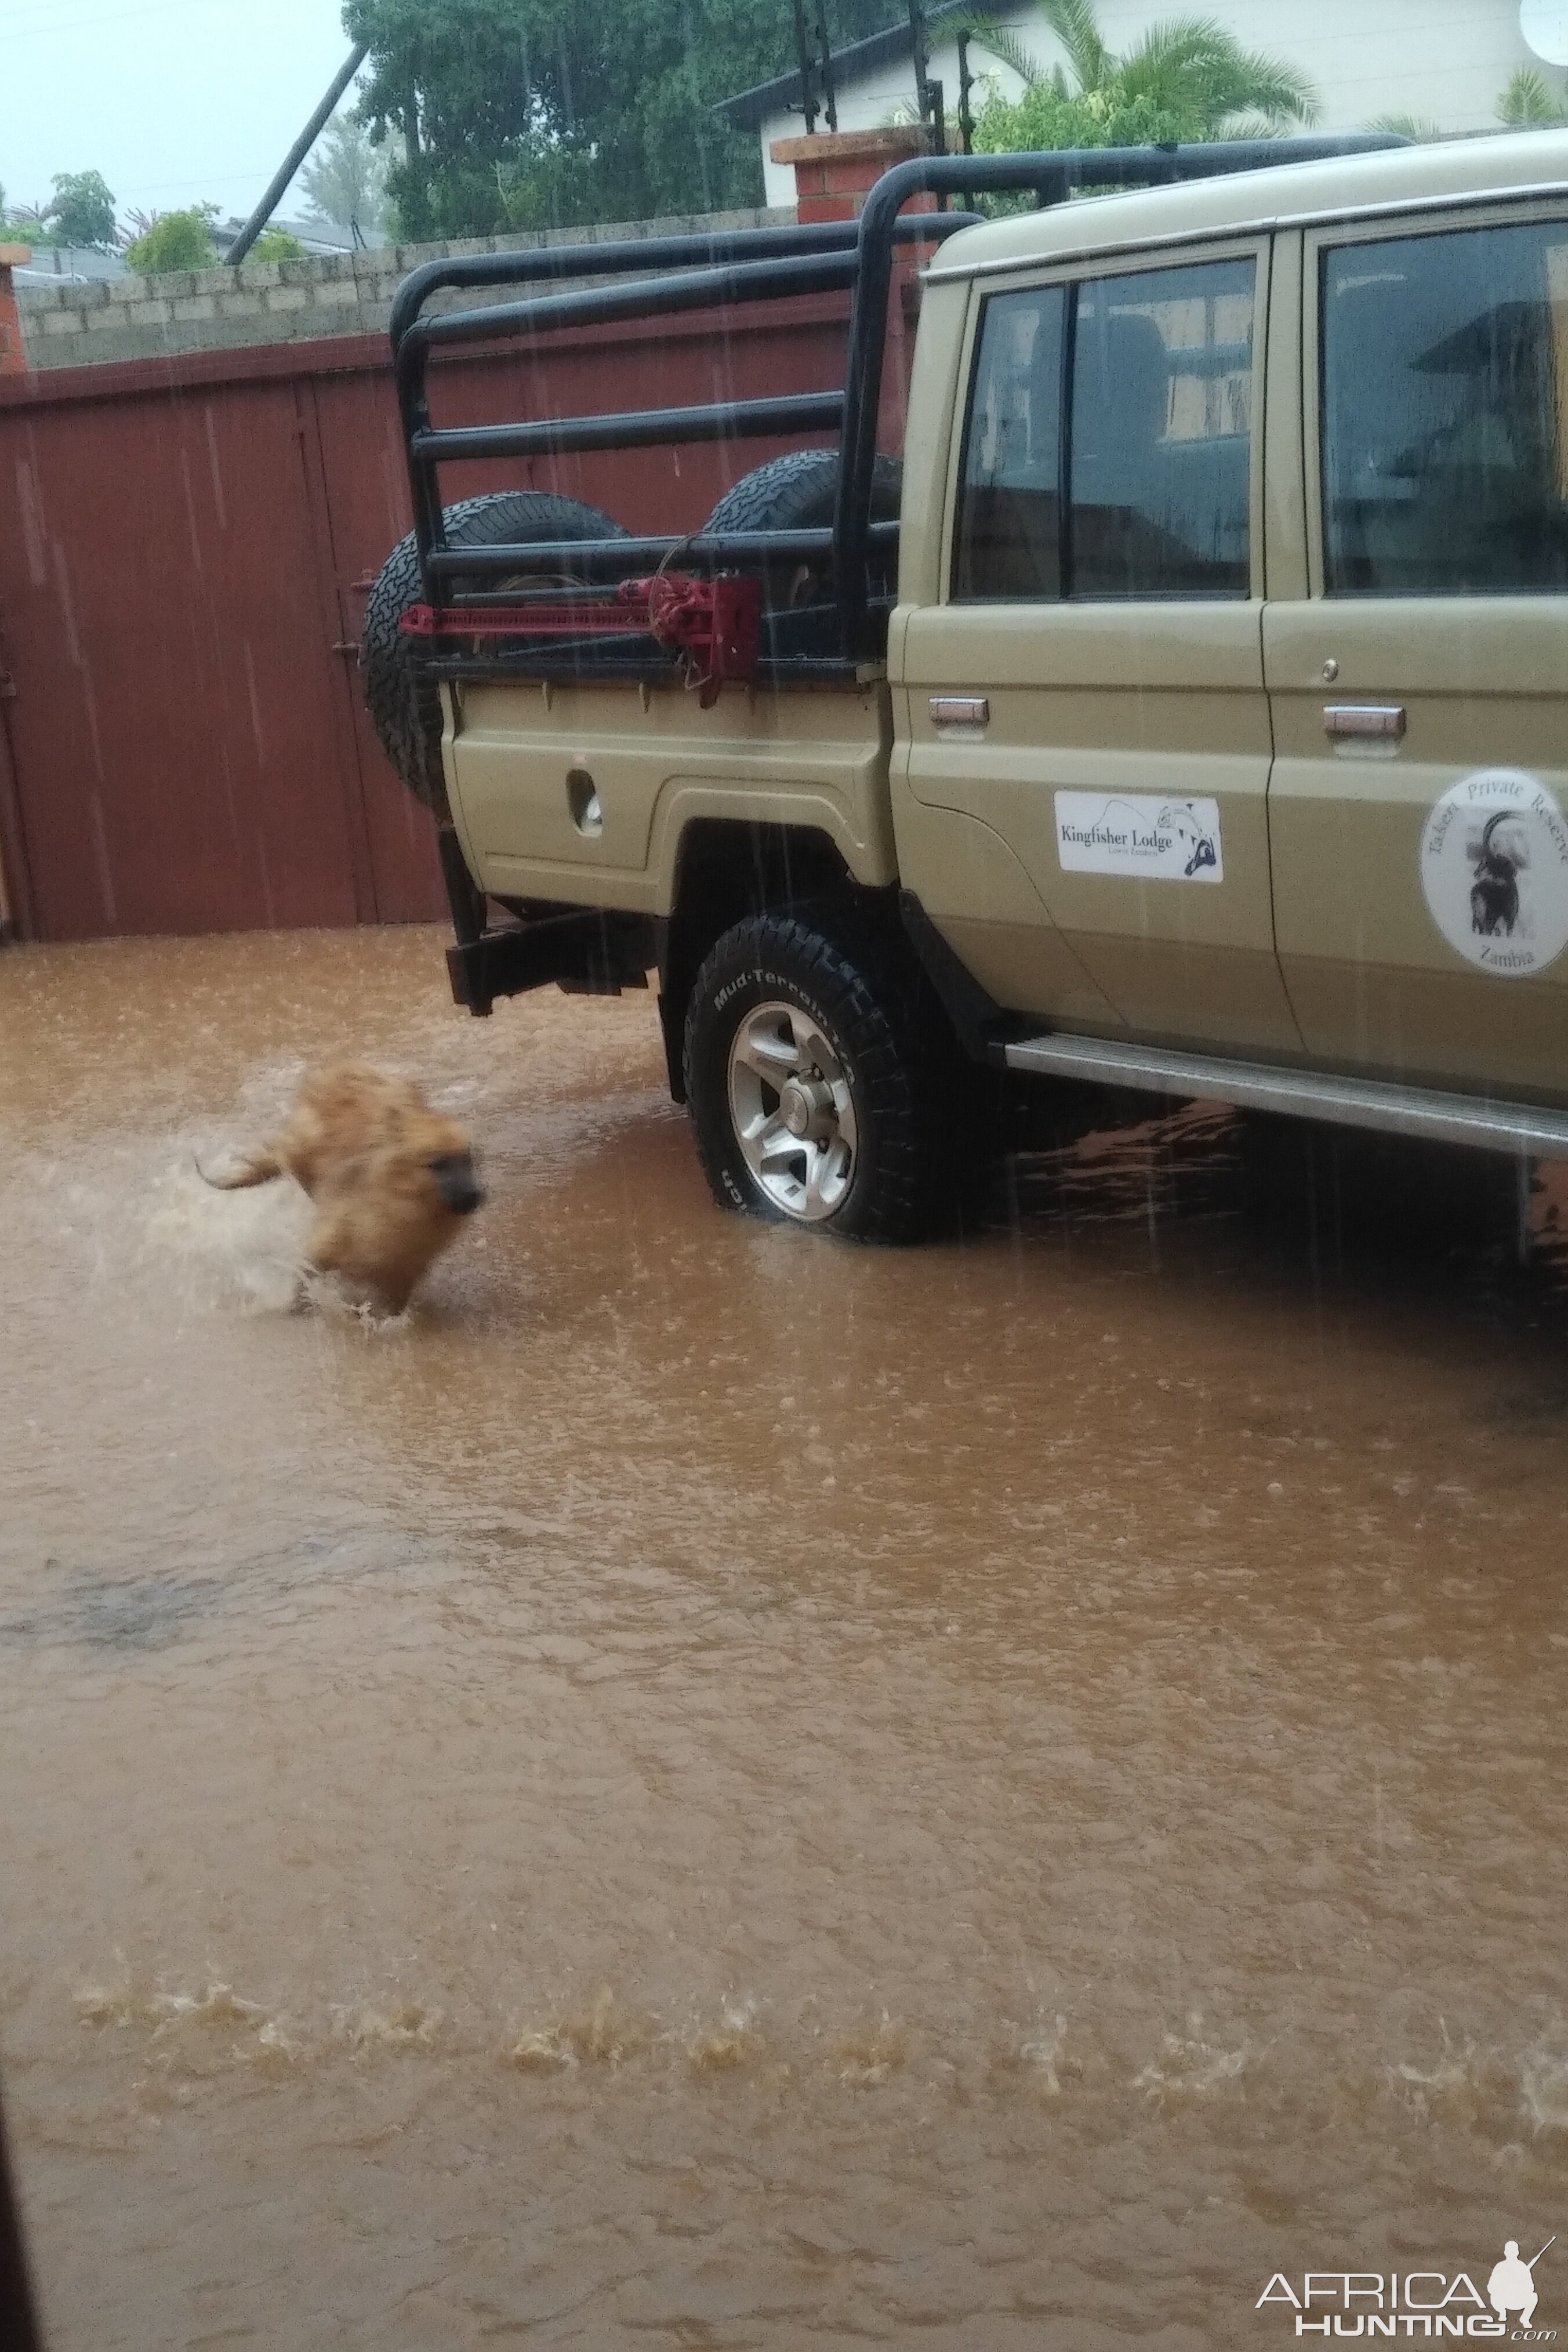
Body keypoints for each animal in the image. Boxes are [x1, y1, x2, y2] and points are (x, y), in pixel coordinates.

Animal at [201, 1072, 484, 1326]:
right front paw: (294, 1308)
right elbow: (301, 1285)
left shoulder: (402, 1277)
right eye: (439, 1164)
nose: (476, 1194)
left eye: (467, 1161)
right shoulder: (322, 1252)